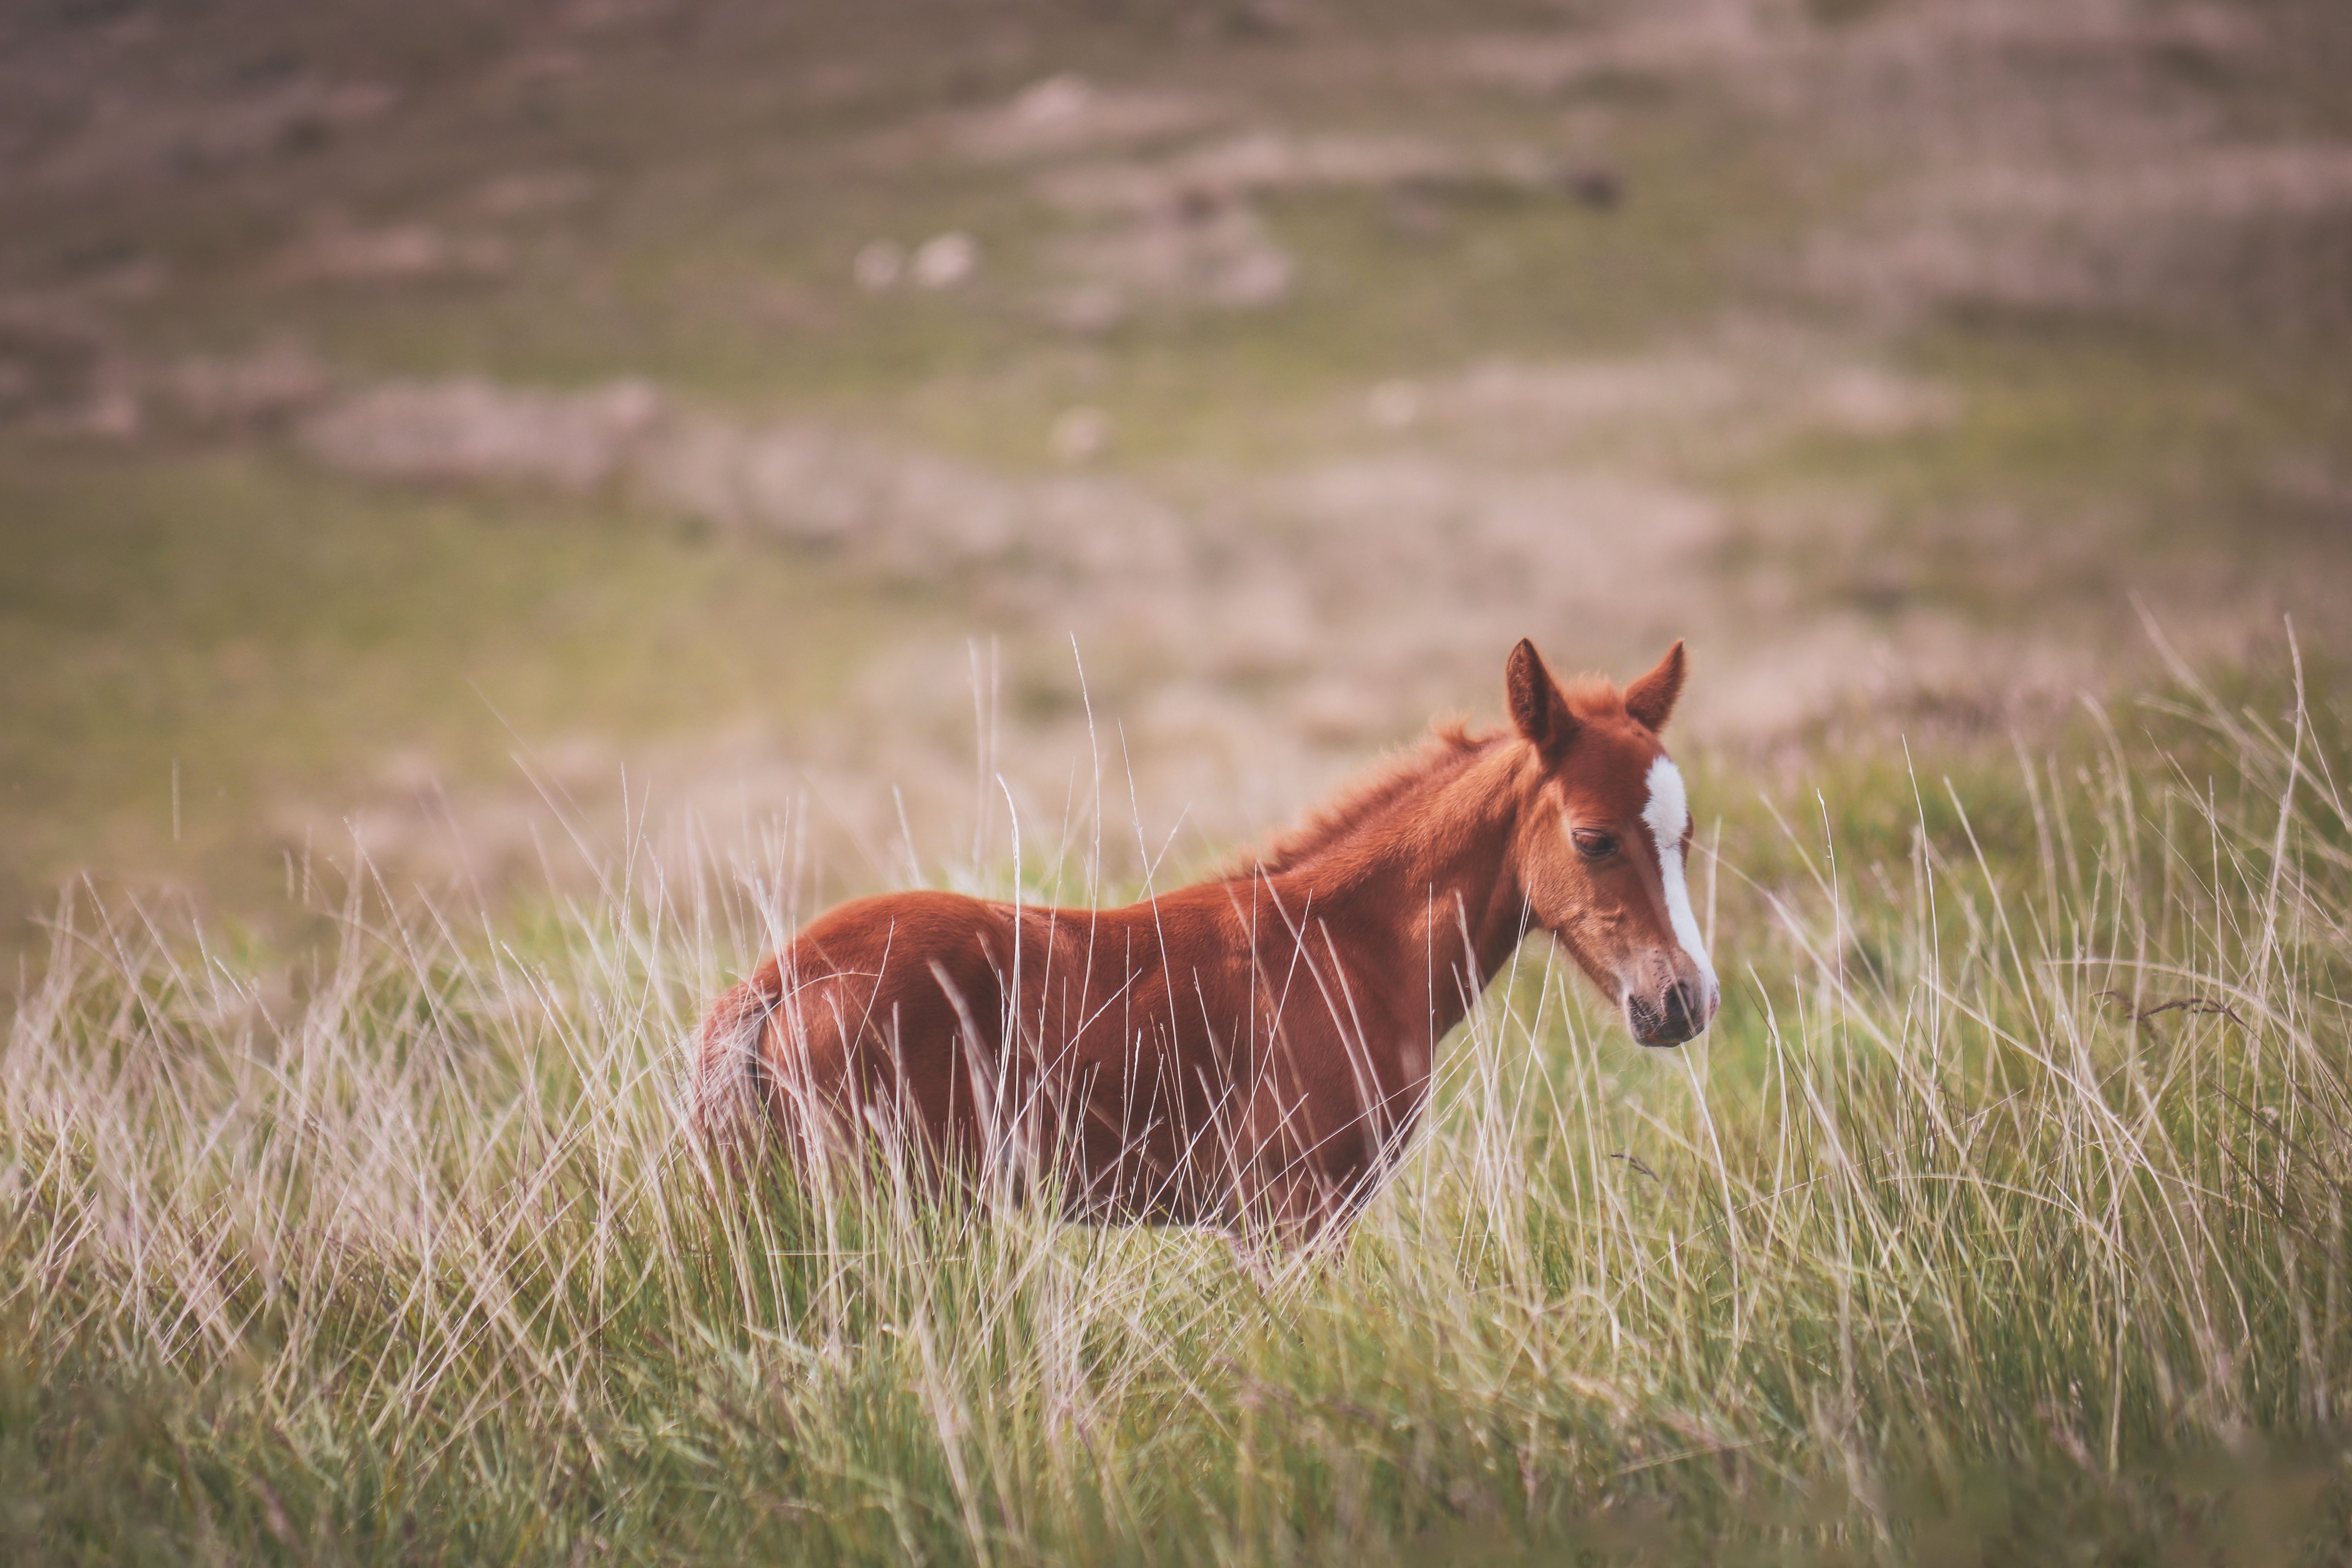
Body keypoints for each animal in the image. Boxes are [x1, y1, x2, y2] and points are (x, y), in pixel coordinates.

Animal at [689, 638, 1719, 1245]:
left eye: (1685, 833)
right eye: (1594, 837)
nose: (1684, 1000)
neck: (1345, 949)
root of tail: (781, 977)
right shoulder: (1291, 1217)